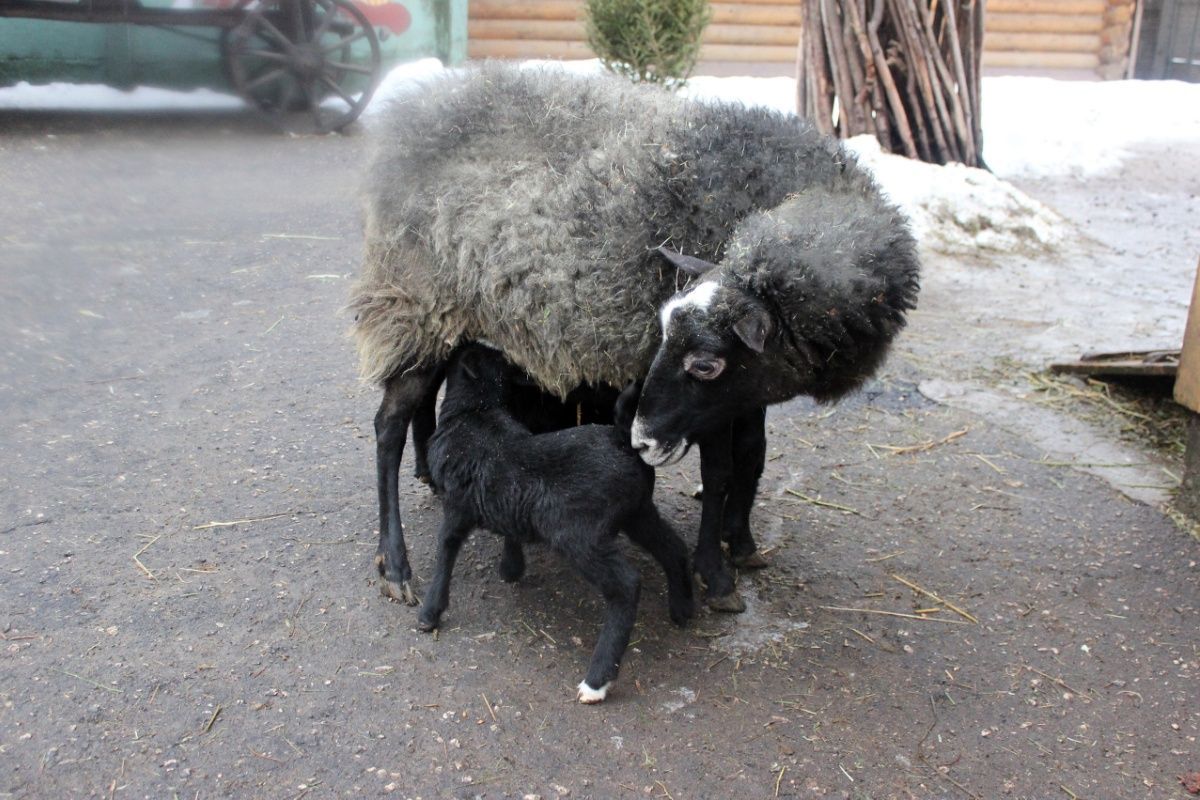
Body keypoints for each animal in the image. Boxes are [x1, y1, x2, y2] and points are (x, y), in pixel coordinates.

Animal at [350, 64, 916, 614]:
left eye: (704, 363)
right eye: (667, 336)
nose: (639, 440)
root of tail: (412, 117)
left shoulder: (745, 385)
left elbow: (752, 454)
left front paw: (743, 542)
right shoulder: (710, 406)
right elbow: (720, 471)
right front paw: (715, 572)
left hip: (446, 316)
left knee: (427, 395)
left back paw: (429, 473)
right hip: (410, 300)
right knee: (388, 427)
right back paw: (395, 565)